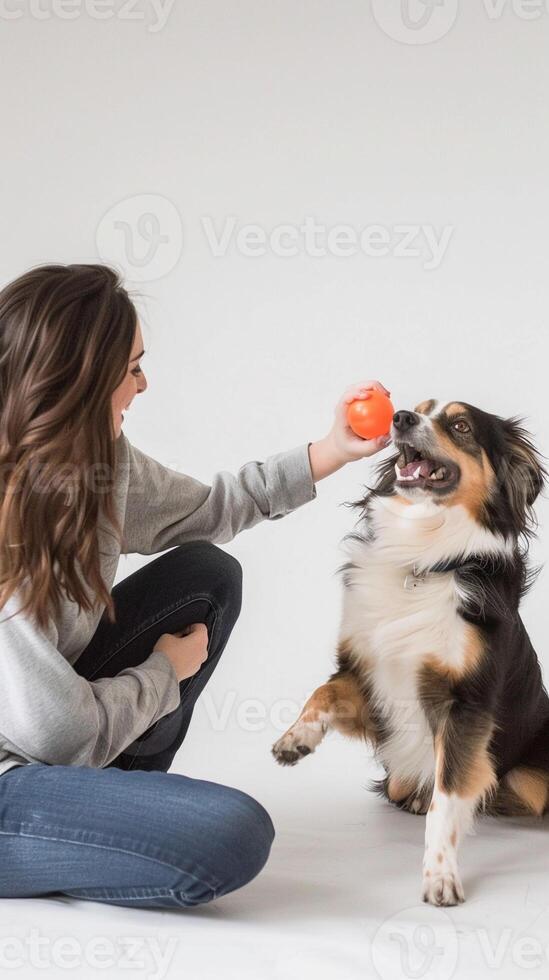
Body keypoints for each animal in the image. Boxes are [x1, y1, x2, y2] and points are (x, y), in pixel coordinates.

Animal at [270, 402, 548, 908]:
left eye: (460, 425)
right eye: (419, 410)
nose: (399, 418)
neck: (423, 558)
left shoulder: (465, 704)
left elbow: (448, 796)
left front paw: (440, 875)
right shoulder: (372, 681)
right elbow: (323, 691)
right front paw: (295, 739)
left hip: (531, 776)